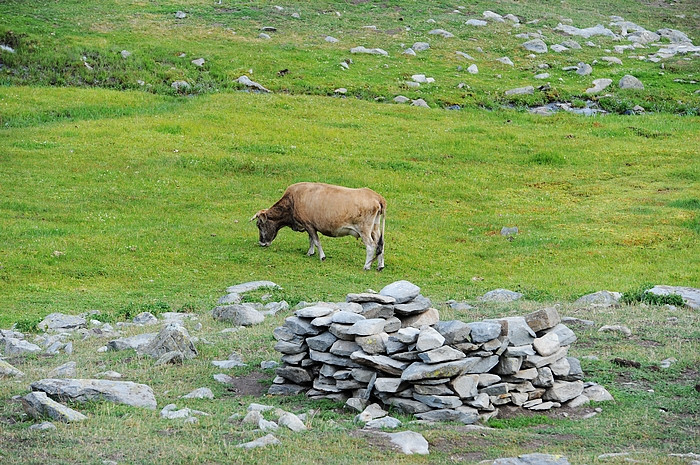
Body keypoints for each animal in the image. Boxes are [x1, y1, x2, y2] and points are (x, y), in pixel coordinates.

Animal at [252, 181, 386, 268]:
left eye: (259, 225)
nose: (261, 243)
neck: (292, 200)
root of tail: (377, 197)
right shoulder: (309, 226)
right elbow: (311, 240)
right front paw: (310, 253)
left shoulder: (309, 224)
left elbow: (316, 241)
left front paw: (322, 256)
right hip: (375, 228)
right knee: (380, 244)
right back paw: (380, 266)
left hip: (364, 229)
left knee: (371, 245)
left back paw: (366, 266)